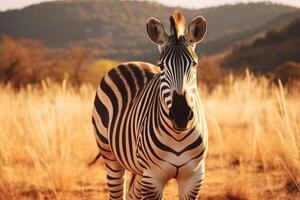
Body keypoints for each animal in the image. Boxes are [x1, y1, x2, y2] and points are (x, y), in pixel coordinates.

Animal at [91, 10, 207, 200]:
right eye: (161, 66)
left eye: (194, 64)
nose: (181, 115)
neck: (178, 136)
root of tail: (130, 62)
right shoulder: (153, 178)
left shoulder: (193, 178)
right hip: (111, 157)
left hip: (140, 170)